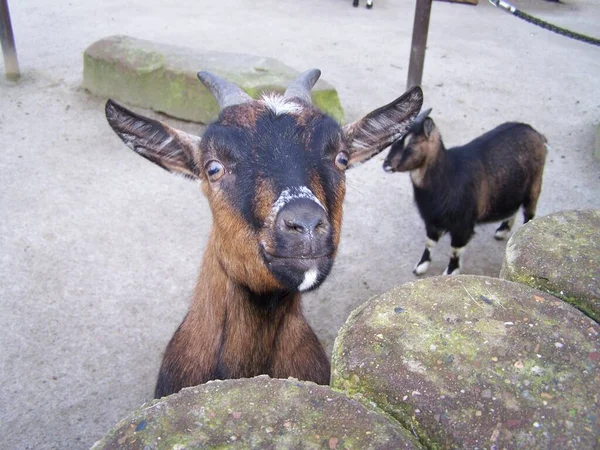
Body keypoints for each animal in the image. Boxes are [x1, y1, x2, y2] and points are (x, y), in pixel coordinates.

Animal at [382, 110, 548, 276]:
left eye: (410, 144)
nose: (386, 165)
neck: (447, 176)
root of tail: (537, 134)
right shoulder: (432, 220)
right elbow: (429, 243)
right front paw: (421, 266)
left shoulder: (462, 225)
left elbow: (455, 249)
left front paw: (450, 272)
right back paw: (502, 231)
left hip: (534, 185)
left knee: (529, 213)